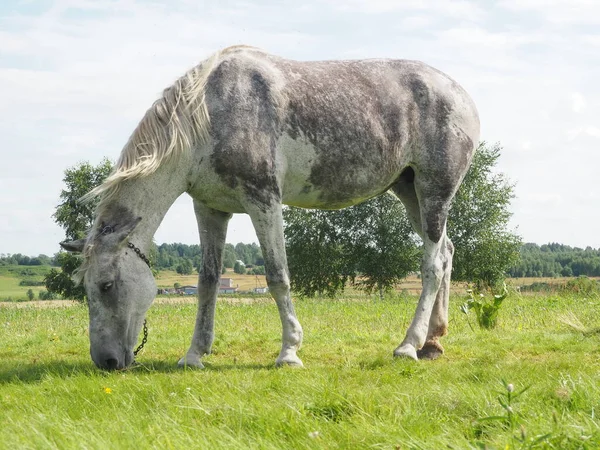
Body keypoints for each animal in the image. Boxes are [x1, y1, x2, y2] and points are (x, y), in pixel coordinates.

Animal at [62, 44, 478, 370]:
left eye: (107, 284)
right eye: (85, 287)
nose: (106, 361)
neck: (209, 115)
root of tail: (461, 96)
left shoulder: (264, 201)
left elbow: (278, 276)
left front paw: (289, 352)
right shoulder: (210, 209)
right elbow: (207, 281)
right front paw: (194, 354)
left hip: (433, 191)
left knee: (432, 265)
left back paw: (408, 345)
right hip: (410, 193)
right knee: (446, 253)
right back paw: (432, 343)